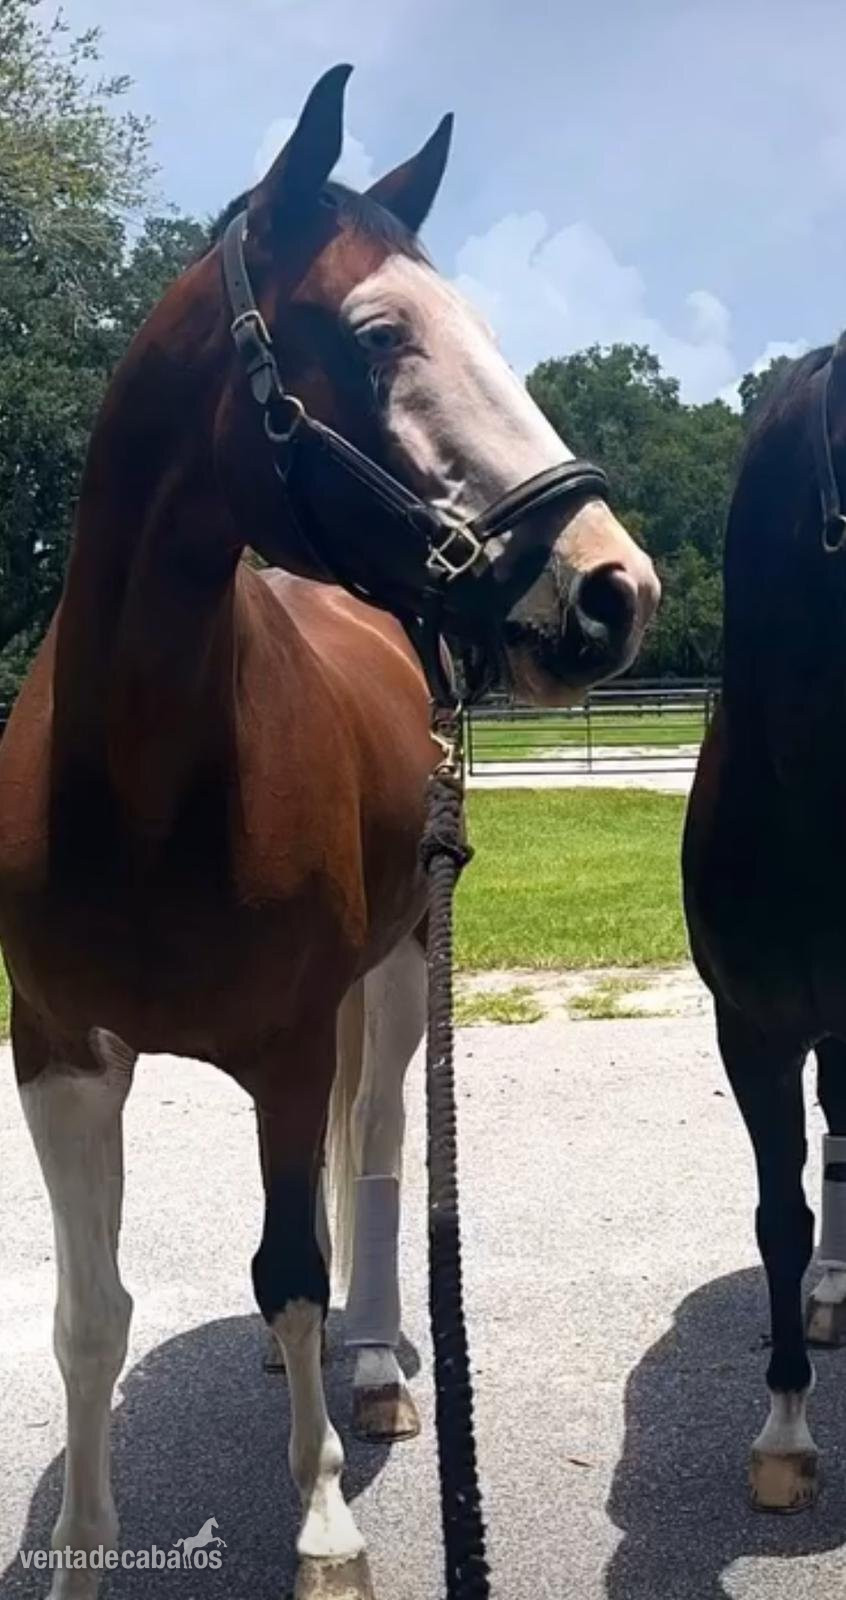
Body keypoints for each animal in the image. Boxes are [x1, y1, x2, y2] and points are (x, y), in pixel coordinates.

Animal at [0, 65, 658, 1598]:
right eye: (378, 337)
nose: (615, 591)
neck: (142, 777)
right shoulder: (57, 1055)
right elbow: (87, 1314)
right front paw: (81, 1557)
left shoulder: (292, 1046)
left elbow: (295, 1270)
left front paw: (324, 1531)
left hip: (404, 965)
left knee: (375, 1148)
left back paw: (371, 1364)